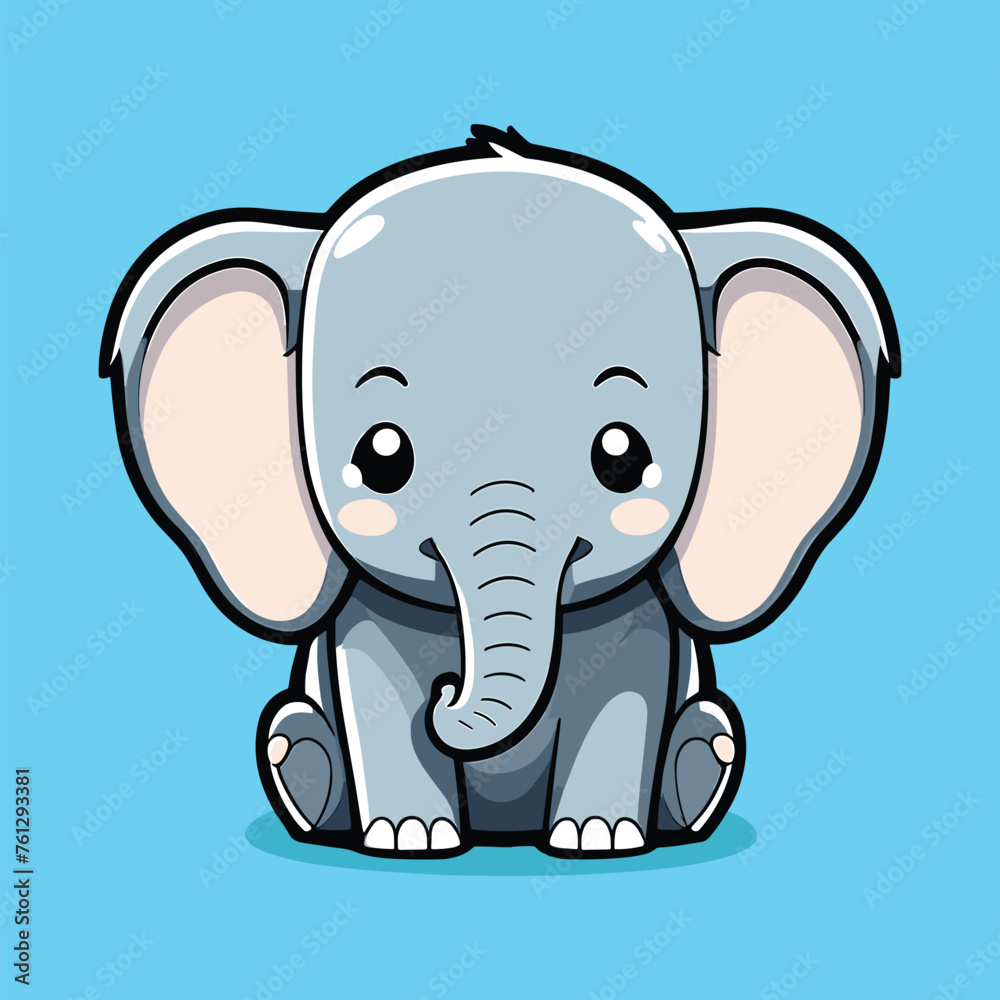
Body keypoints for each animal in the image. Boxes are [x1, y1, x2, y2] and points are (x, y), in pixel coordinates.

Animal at [100, 125, 898, 857]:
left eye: (622, 459)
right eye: (382, 458)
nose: (448, 693)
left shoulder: (640, 623)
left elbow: (625, 696)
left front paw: (599, 841)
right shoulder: (363, 620)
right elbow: (375, 691)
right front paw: (410, 840)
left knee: (713, 734)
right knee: (290, 739)